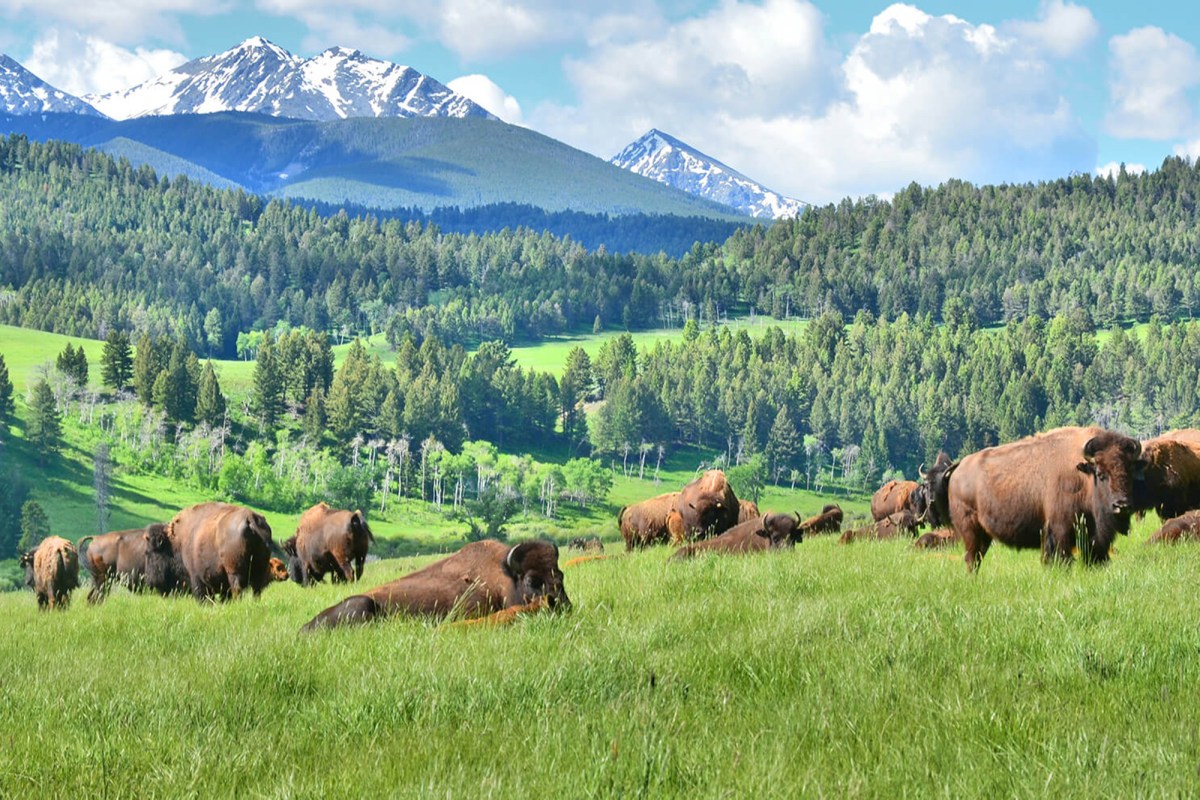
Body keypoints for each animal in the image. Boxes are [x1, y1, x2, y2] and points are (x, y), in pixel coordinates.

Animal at [301, 539, 570, 632]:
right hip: (362, 603)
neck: (502, 578)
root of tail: (303, 629)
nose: (562, 606)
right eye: (532, 581)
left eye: (561, 576)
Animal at [947, 426, 1144, 572]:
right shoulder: (1059, 529)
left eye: (1130, 472)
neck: (1083, 476)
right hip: (970, 530)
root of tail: (958, 468)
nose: (1122, 505)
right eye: (1101, 474)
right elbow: (1060, 557)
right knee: (972, 558)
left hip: (984, 535)